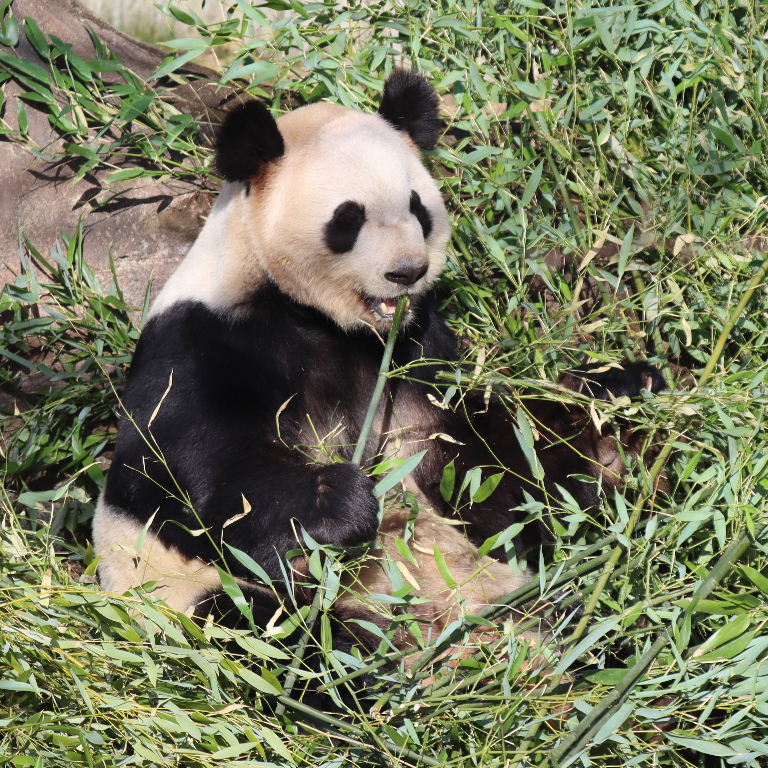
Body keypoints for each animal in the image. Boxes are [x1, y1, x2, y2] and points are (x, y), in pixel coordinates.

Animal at [92, 70, 663, 651]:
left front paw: (611, 402)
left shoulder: (416, 355)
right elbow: (186, 469)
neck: (330, 322)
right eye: (348, 218)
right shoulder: (202, 339)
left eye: (417, 207)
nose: (407, 271)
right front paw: (337, 503)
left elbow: (484, 462)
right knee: (264, 632)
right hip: (197, 603)